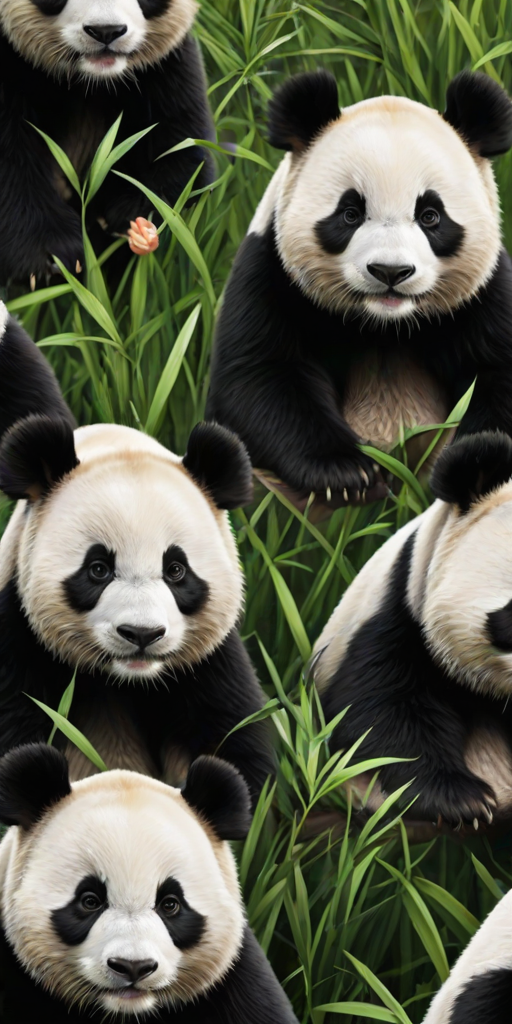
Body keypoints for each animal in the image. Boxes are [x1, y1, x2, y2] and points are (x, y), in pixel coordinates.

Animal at [0, 0, 215, 287]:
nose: (106, 31)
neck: (92, 80)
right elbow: (9, 161)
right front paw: (51, 256)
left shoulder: (167, 67)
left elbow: (185, 155)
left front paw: (134, 218)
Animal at [0, 303, 274, 802]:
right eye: (97, 569)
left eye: (177, 570)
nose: (142, 634)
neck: (127, 680)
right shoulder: (21, 639)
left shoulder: (207, 666)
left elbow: (234, 744)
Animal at [206, 69, 512, 510]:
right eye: (350, 213)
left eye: (430, 215)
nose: (390, 271)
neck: (384, 324)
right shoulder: (271, 273)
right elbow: (260, 376)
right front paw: (348, 474)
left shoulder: (485, 293)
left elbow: (498, 375)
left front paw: (472, 464)